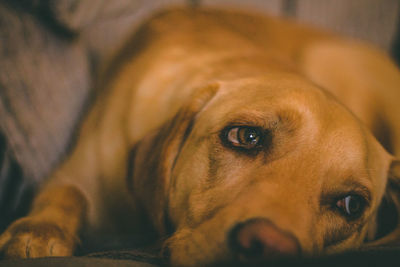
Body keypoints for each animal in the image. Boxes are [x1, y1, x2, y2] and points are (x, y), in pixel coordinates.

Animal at [0, 7, 400, 266]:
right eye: (246, 136)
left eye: (351, 205)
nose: (270, 248)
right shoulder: (74, 175)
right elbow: (63, 196)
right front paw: (37, 231)